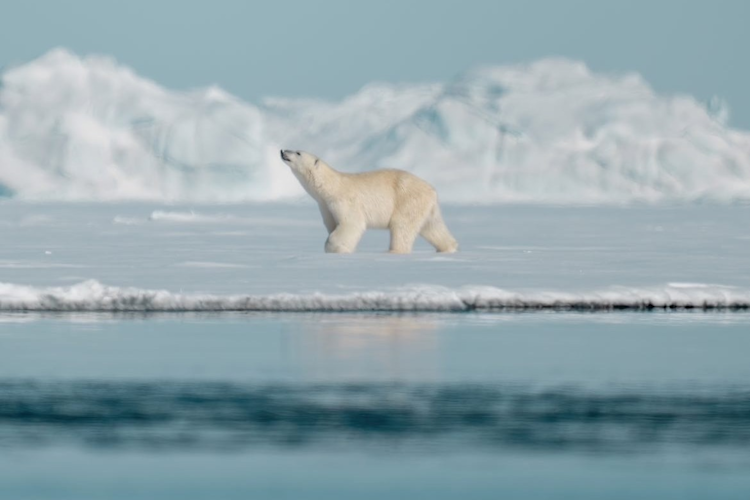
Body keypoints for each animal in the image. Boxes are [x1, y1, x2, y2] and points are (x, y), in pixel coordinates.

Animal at [280, 150, 459, 254]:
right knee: (432, 227)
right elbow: (333, 225)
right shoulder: (325, 206)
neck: (330, 186)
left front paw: (335, 247)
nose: (283, 151)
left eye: (298, 152)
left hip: (407, 199)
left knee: (402, 226)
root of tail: (432, 189)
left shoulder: (343, 200)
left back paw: (394, 251)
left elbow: (351, 224)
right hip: (425, 206)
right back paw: (448, 248)